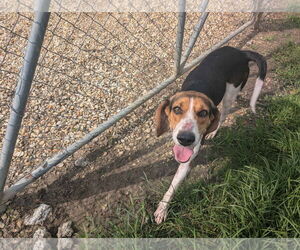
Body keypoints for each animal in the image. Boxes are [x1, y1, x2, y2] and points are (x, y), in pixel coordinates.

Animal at [154, 45, 266, 225]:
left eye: (203, 113)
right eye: (177, 109)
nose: (185, 139)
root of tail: (240, 53)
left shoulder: (187, 160)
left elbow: (173, 185)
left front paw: (163, 208)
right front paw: (162, 208)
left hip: (229, 94)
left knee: (224, 114)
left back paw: (214, 131)